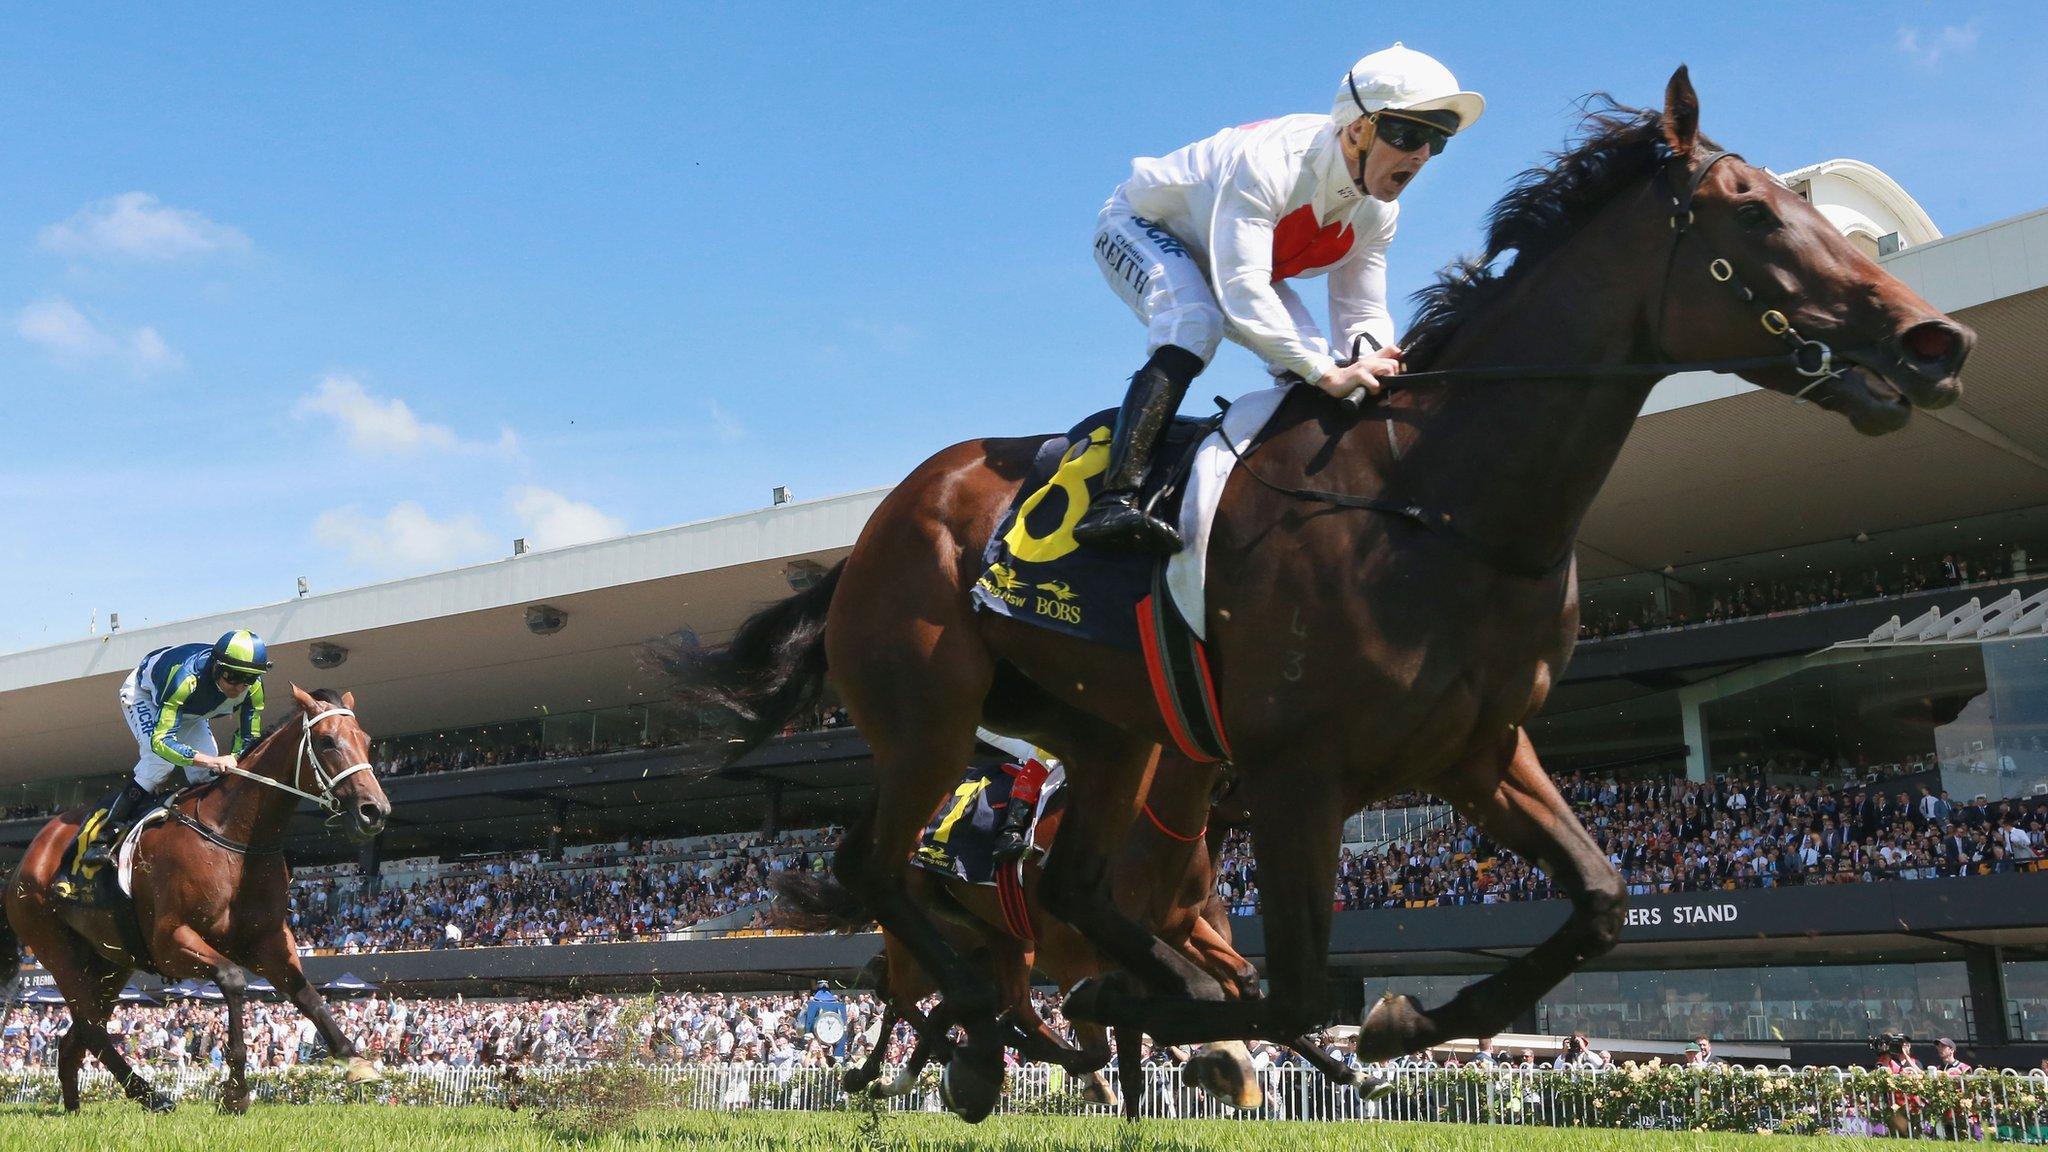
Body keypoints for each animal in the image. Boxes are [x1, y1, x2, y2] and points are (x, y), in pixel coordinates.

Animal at [4, 684, 391, 1106]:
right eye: (326, 741)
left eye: (366, 741)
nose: (375, 811)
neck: (233, 838)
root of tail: (24, 861)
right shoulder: (170, 941)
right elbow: (233, 980)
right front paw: (236, 1090)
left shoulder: (268, 939)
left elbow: (307, 994)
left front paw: (355, 1060)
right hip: (57, 950)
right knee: (90, 1027)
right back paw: (152, 1096)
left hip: (110, 962)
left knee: (78, 1036)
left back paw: (81, 1106)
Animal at [667, 67, 1966, 1115]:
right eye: (1754, 212)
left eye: (1810, 206)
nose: (1933, 343)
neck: (1437, 500)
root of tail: (878, 526)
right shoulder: (1299, 776)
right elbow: (1287, 985)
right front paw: (1186, 1026)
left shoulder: (1479, 751)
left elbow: (1594, 902)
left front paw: (1387, 1024)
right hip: (929, 713)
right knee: (874, 874)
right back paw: (991, 1035)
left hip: (1108, 734)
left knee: (1068, 886)